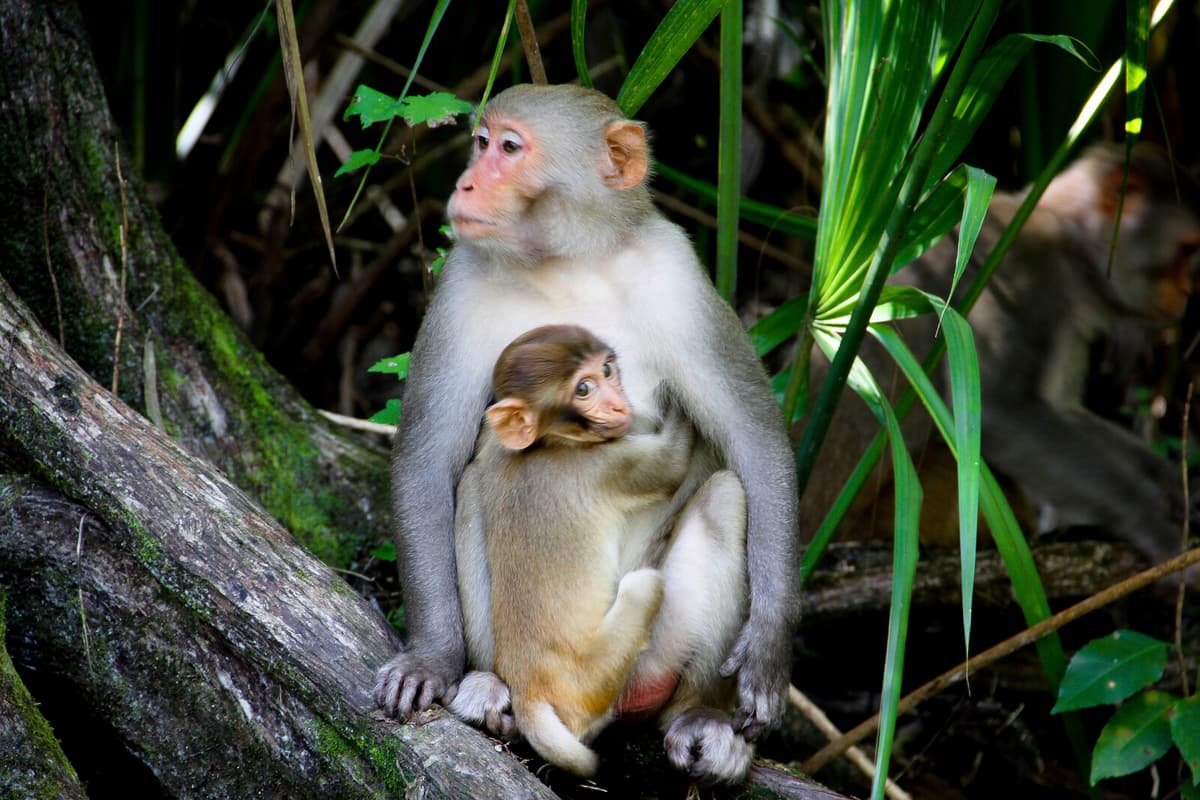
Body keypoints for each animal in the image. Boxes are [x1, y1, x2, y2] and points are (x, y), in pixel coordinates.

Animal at [449, 324, 699, 777]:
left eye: (607, 369)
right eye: (584, 388)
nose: (619, 402)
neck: (552, 442)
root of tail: (528, 689)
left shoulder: (496, 449)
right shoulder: (609, 466)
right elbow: (672, 463)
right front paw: (676, 398)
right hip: (592, 680)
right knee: (646, 586)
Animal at [801, 142, 1200, 569]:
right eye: (1186, 250)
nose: (1187, 292)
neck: (1068, 243)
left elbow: (1062, 409)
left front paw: (1169, 483)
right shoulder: (1022, 277)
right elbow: (1000, 413)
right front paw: (1150, 522)